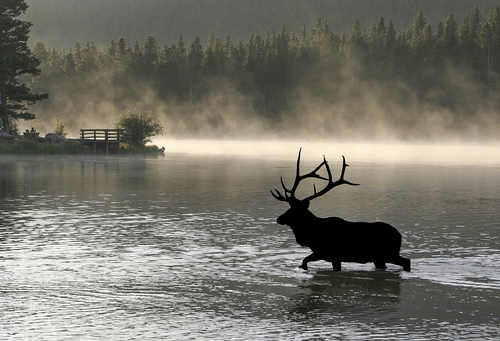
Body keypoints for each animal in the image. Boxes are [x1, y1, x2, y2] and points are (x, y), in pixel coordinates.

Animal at [274, 149, 410, 270]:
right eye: (290, 208)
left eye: (295, 211)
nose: (279, 218)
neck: (312, 235)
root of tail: (399, 235)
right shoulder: (323, 254)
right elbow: (304, 260)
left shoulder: (333, 255)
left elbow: (306, 260)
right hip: (379, 258)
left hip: (388, 254)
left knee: (407, 261)